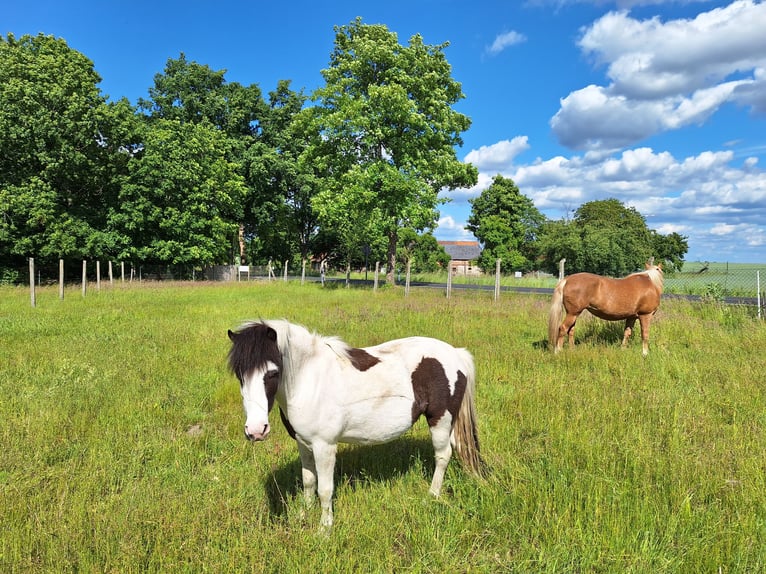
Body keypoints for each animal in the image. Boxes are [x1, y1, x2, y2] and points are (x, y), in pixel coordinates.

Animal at [226, 319, 484, 529]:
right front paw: (303, 515)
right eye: (240, 374)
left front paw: (324, 529)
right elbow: (309, 481)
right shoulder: (303, 443)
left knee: (442, 456)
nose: (256, 430)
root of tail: (456, 353)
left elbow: (325, 489)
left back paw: (432, 496)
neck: (309, 382)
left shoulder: (325, 446)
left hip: (439, 420)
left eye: (271, 373)